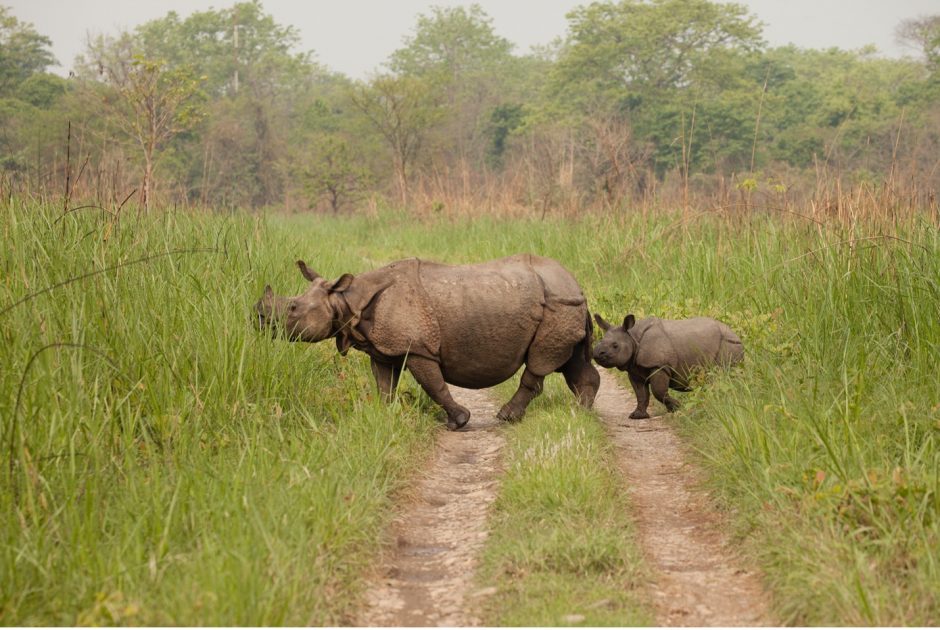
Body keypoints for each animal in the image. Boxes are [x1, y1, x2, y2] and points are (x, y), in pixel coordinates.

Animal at [596, 314, 740, 420]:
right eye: (599, 341)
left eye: (615, 346)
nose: (596, 353)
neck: (632, 338)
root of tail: (737, 335)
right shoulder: (634, 369)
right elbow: (641, 393)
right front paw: (637, 416)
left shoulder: (660, 366)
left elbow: (658, 391)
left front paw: (677, 408)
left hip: (728, 344)